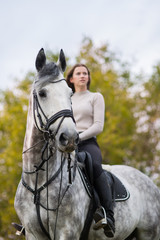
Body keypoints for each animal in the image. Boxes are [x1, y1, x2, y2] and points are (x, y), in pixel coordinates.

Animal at [14, 48, 160, 240]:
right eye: (42, 93)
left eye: (69, 94)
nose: (69, 138)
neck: (38, 183)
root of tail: (149, 182)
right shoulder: (33, 233)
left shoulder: (67, 232)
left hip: (149, 233)